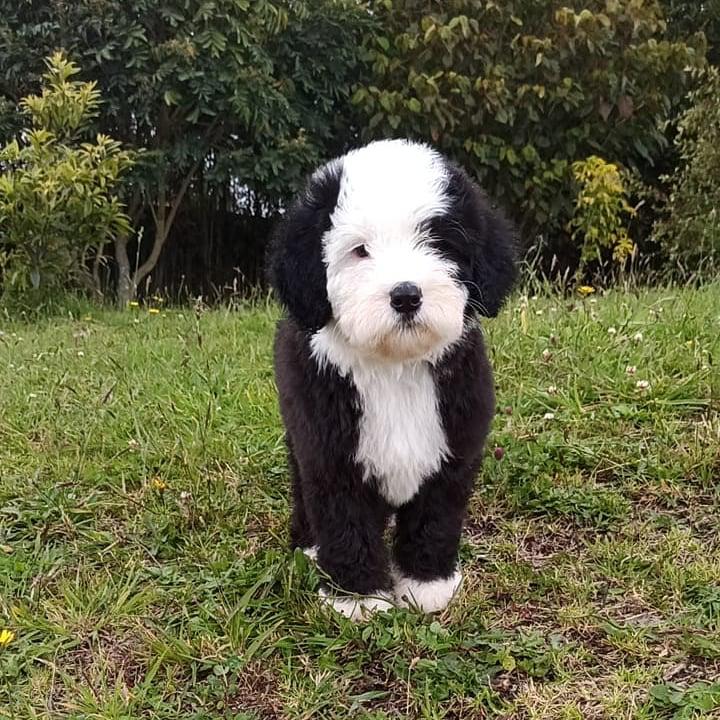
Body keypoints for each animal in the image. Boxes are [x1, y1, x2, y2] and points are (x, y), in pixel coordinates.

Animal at [268, 141, 516, 620]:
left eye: (437, 242)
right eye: (360, 250)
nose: (405, 295)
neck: (394, 367)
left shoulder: (453, 445)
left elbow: (435, 517)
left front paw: (426, 584)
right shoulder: (330, 450)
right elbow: (346, 520)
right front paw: (358, 597)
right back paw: (308, 546)